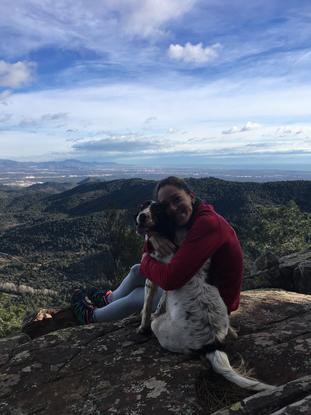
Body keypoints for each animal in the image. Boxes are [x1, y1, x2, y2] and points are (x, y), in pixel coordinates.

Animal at [135, 202, 274, 394]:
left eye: (156, 211)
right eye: (143, 206)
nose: (141, 215)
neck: (169, 233)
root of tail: (212, 344)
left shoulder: (153, 275)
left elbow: (147, 305)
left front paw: (142, 326)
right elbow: (162, 299)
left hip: (161, 328)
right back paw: (232, 332)